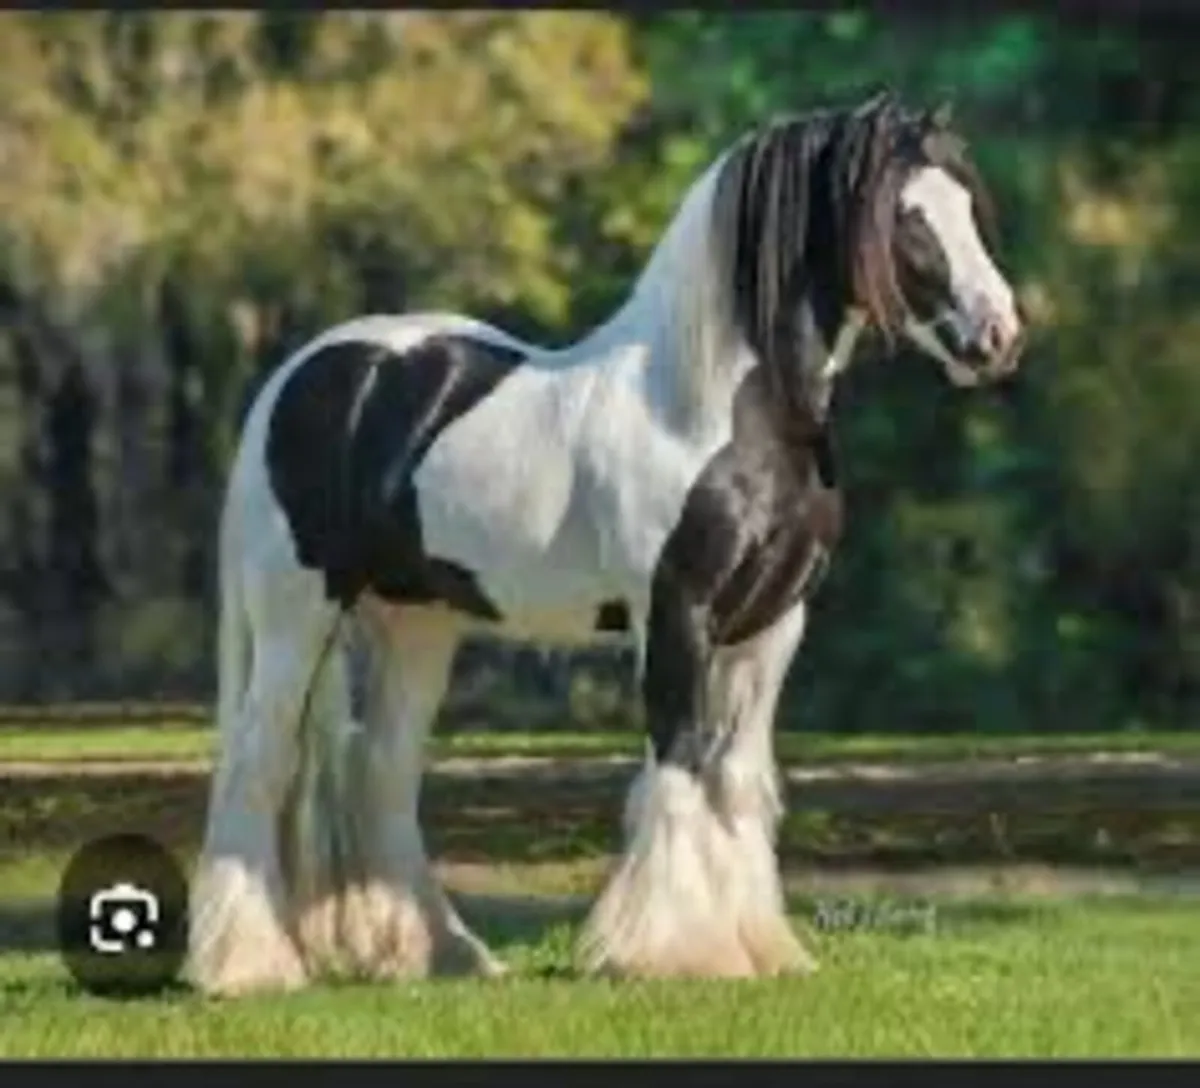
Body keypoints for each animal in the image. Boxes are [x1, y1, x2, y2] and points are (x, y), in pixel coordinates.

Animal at [186, 90, 1024, 996]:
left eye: (967, 205)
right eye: (906, 217)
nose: (998, 337)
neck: (719, 411)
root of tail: (302, 372)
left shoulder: (772, 624)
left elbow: (736, 776)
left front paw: (764, 951)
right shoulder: (677, 613)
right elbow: (680, 763)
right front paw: (672, 952)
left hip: (416, 625)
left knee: (381, 770)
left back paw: (441, 956)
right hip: (296, 613)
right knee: (259, 759)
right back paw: (246, 968)